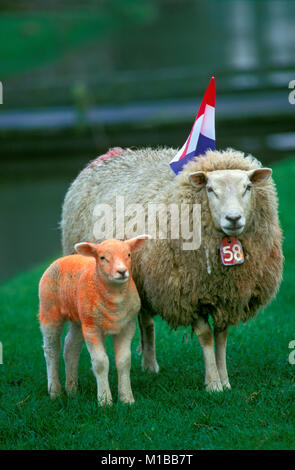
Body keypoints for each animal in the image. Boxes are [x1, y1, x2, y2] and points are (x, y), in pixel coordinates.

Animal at [39, 235, 149, 404]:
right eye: (102, 258)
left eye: (129, 254)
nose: (122, 272)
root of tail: (64, 258)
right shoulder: (92, 329)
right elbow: (101, 363)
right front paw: (104, 400)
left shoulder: (127, 326)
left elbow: (124, 361)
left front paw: (127, 398)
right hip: (49, 310)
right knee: (51, 349)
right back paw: (55, 391)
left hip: (80, 318)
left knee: (71, 347)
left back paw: (72, 390)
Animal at [60, 149, 284, 392]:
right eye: (210, 189)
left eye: (248, 187)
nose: (233, 219)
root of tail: (105, 157)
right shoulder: (188, 295)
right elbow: (206, 336)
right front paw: (213, 383)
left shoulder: (226, 297)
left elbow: (221, 337)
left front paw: (225, 380)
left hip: (143, 280)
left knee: (146, 321)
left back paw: (150, 366)